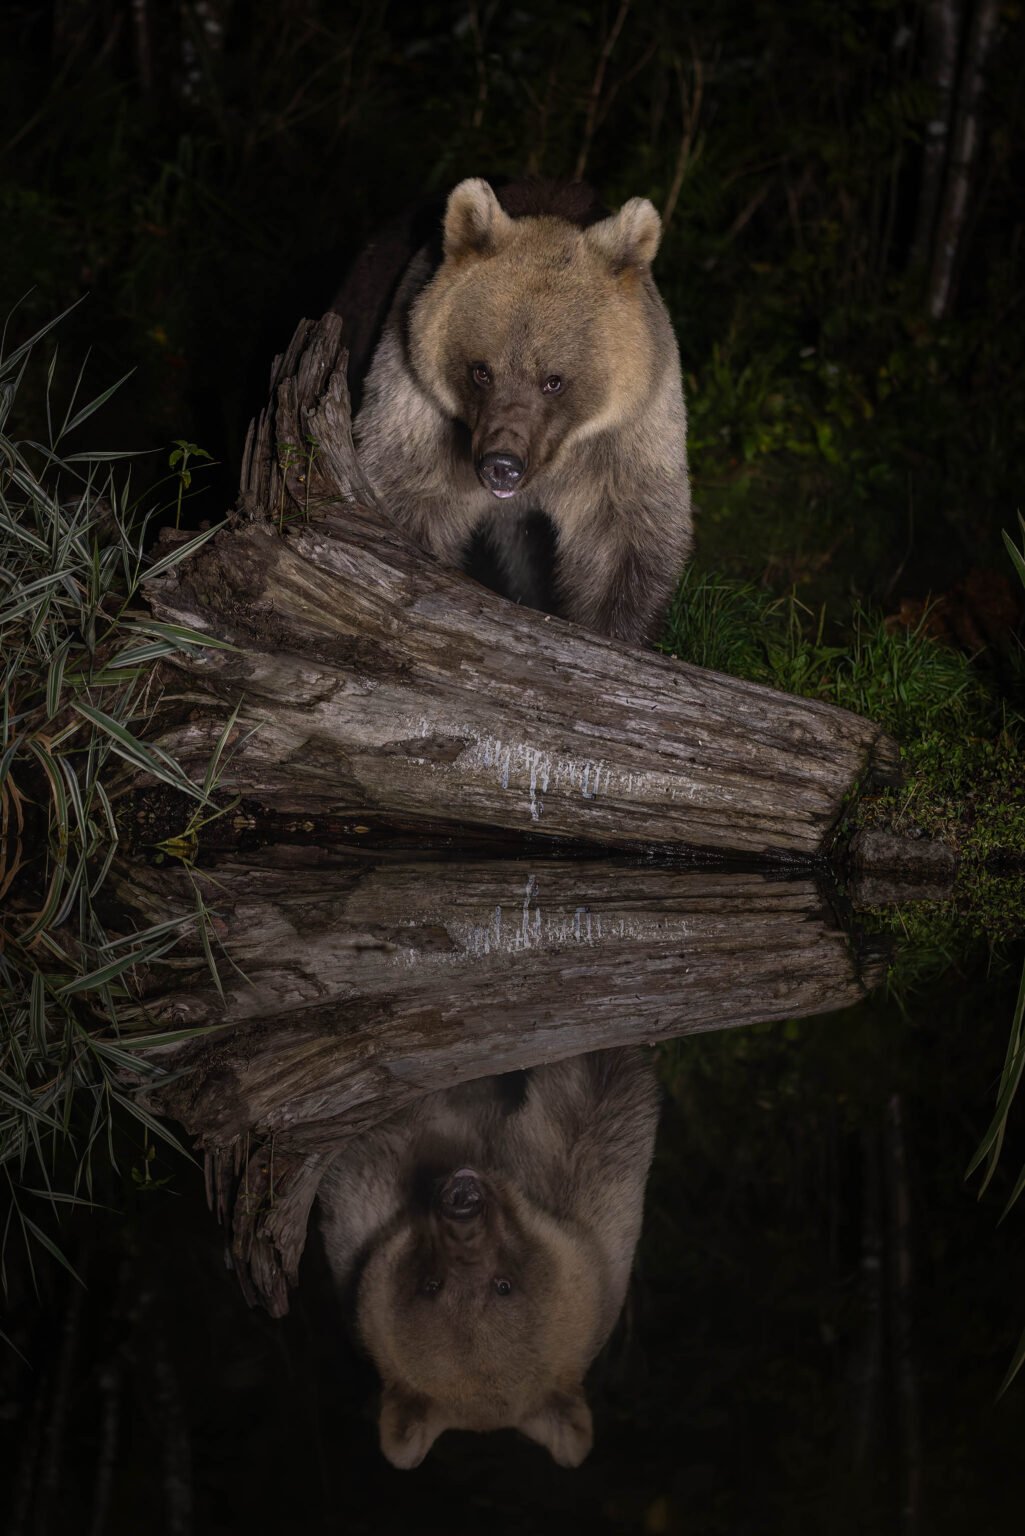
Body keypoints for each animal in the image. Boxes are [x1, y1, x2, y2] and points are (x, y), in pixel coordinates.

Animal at [340, 178, 692, 644]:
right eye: (481, 371)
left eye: (553, 380)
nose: (501, 465)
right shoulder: (416, 399)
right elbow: (409, 492)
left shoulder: (627, 431)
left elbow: (622, 535)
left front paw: (617, 630)